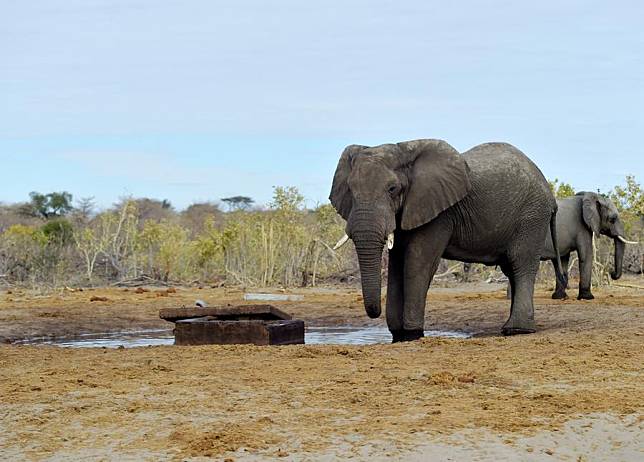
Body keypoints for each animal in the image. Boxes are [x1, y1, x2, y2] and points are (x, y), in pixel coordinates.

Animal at [332, 139, 564, 342]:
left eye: (392, 189)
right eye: (350, 189)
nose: (374, 312)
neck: (405, 150)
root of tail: (550, 193)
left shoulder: (439, 213)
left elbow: (417, 262)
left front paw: (412, 335)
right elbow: (396, 264)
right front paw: (398, 336)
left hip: (532, 217)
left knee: (521, 264)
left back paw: (517, 330)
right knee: (512, 269)